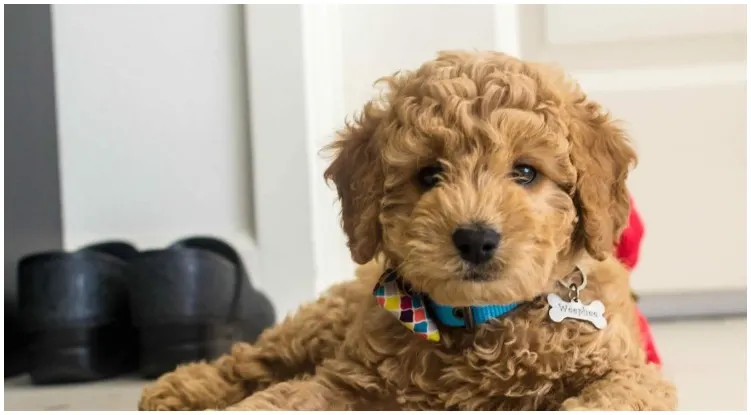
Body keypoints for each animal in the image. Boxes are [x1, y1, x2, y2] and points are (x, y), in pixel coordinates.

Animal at [138, 52, 680, 412]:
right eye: (428, 175)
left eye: (526, 173)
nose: (475, 239)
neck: (480, 321)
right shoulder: (348, 381)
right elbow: (286, 395)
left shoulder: (627, 373)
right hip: (320, 324)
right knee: (255, 359)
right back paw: (179, 389)